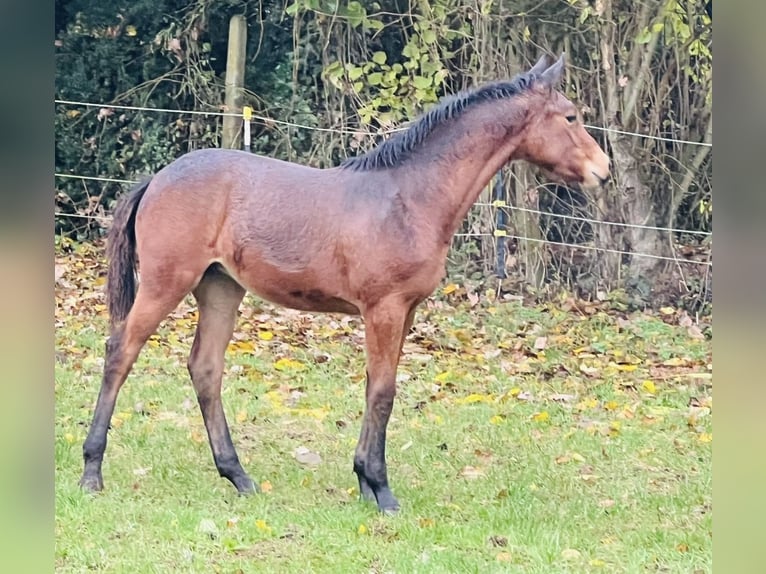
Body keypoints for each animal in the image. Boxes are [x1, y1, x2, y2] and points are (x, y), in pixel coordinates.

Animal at [79, 54, 612, 512]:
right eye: (570, 116)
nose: (602, 171)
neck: (409, 198)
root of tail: (156, 179)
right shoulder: (384, 308)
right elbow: (383, 392)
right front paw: (380, 489)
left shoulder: (405, 311)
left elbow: (378, 386)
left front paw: (364, 482)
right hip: (166, 282)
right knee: (120, 352)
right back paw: (91, 472)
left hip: (220, 288)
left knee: (205, 368)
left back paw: (239, 476)